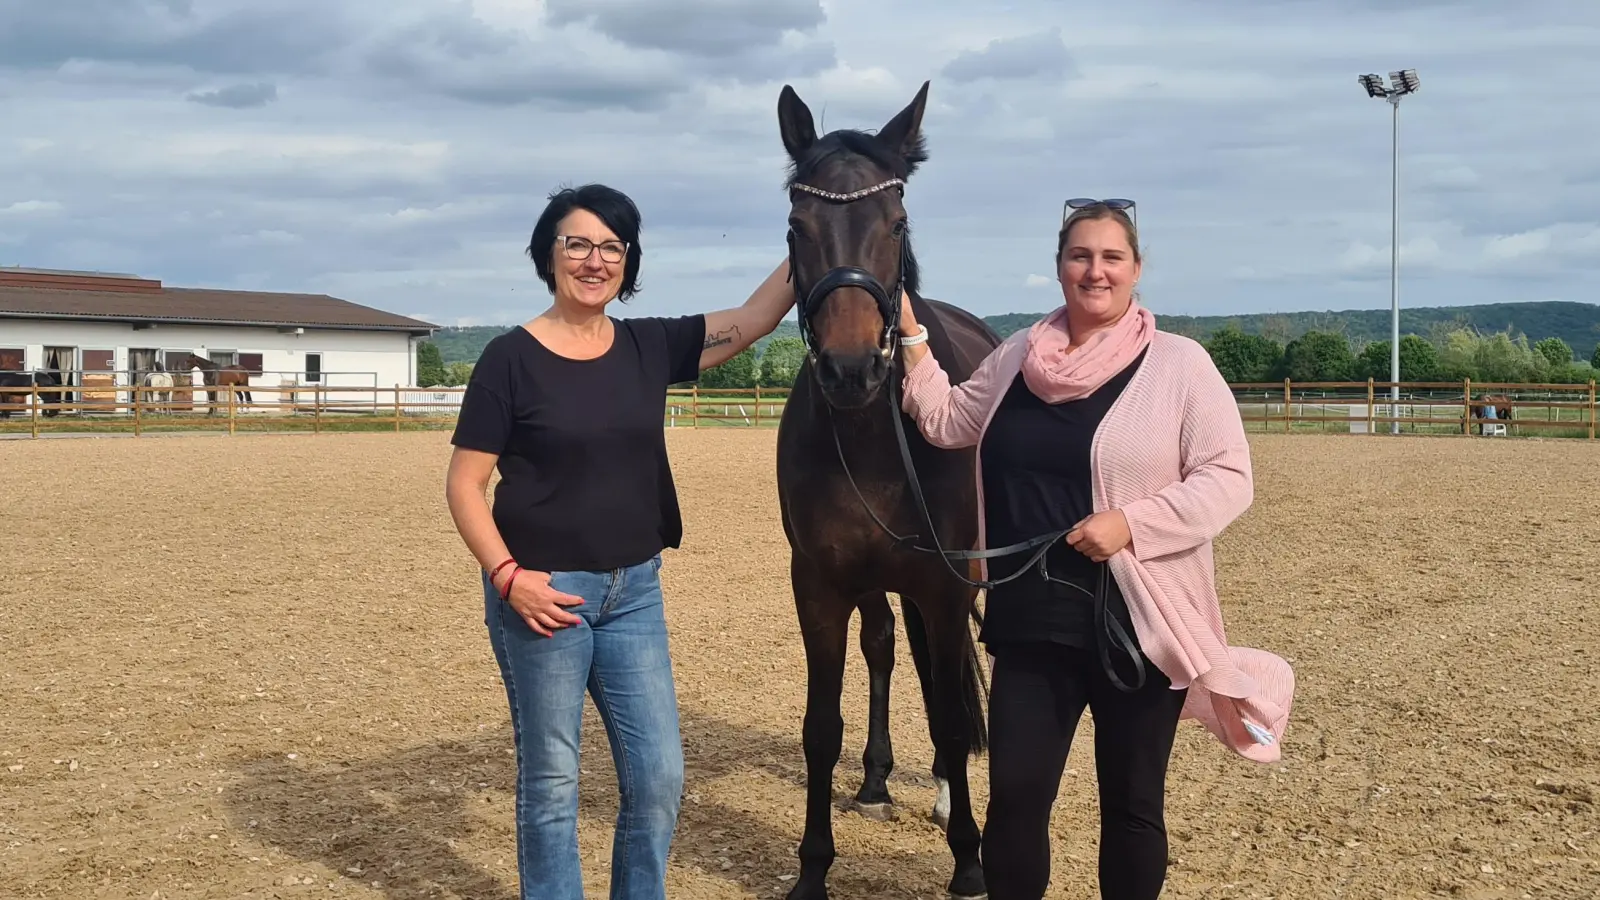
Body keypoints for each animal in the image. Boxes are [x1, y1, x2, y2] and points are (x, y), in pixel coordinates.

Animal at [773, 80, 1002, 900]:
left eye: (895, 222)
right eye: (797, 226)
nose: (849, 369)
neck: (875, 438)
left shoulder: (944, 582)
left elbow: (952, 714)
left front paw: (970, 859)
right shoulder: (820, 583)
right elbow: (821, 725)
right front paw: (812, 867)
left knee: (949, 679)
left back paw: (943, 795)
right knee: (884, 647)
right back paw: (876, 781)